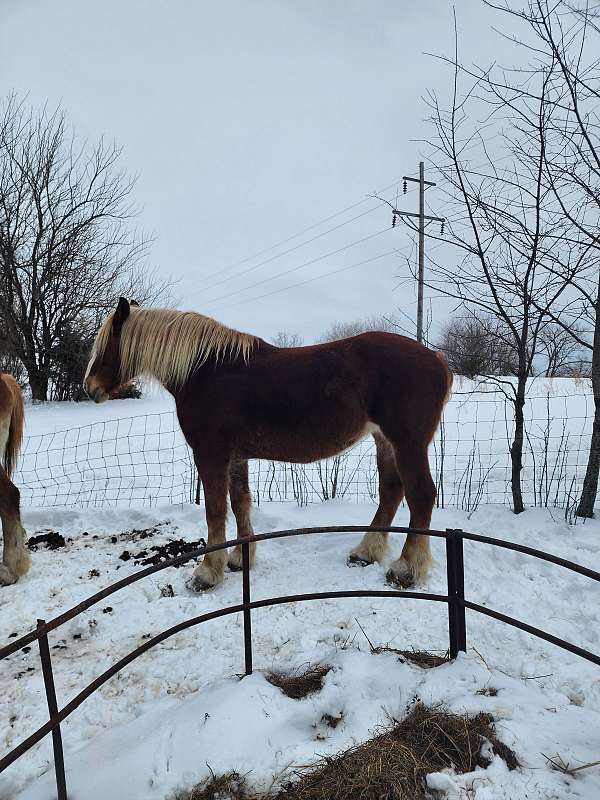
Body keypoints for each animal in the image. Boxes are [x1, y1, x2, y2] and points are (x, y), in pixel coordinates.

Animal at [83, 300, 450, 592]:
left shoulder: (211, 455)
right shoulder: (235, 458)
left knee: (420, 495)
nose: (90, 388)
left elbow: (215, 511)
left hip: (407, 442)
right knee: (391, 491)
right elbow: (241, 504)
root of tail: (435, 358)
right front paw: (238, 559)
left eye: (107, 343)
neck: (205, 371)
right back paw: (366, 552)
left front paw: (207, 573)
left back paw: (405, 569)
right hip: (385, 440)